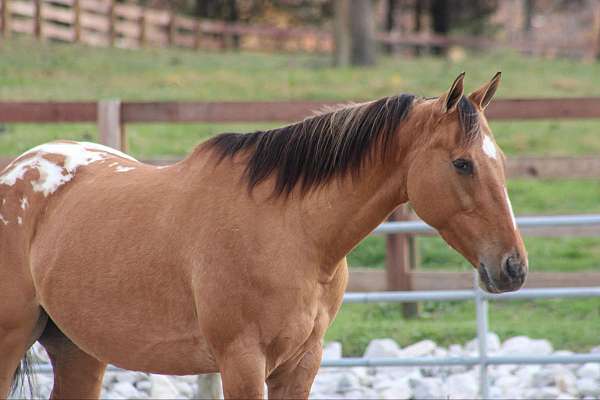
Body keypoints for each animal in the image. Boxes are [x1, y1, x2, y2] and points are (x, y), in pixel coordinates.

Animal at [0, 73, 524, 398]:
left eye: (500, 160)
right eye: (462, 163)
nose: (513, 267)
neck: (292, 232)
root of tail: (18, 169)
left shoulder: (301, 365)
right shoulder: (243, 363)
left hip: (79, 352)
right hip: (12, 343)